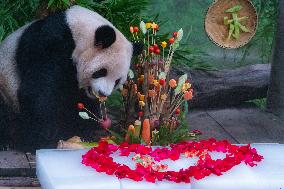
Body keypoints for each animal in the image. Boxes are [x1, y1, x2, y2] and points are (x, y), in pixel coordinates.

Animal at [0, 5, 142, 151]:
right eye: (101, 72)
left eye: (117, 81)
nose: (103, 93)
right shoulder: (50, 45)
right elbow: (38, 92)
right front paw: (40, 140)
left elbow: (80, 102)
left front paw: (86, 133)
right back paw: (8, 141)